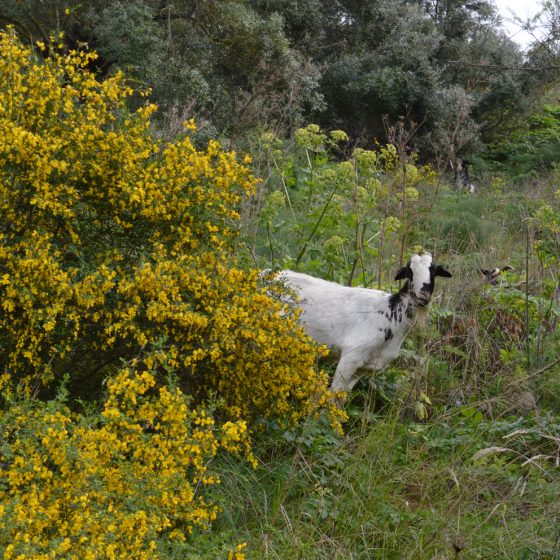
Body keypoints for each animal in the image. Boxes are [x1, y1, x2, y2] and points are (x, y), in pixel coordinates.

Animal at [278, 254, 452, 394]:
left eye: (434, 272)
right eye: (410, 272)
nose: (422, 297)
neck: (391, 314)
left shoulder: (363, 368)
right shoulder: (351, 356)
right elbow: (331, 395)